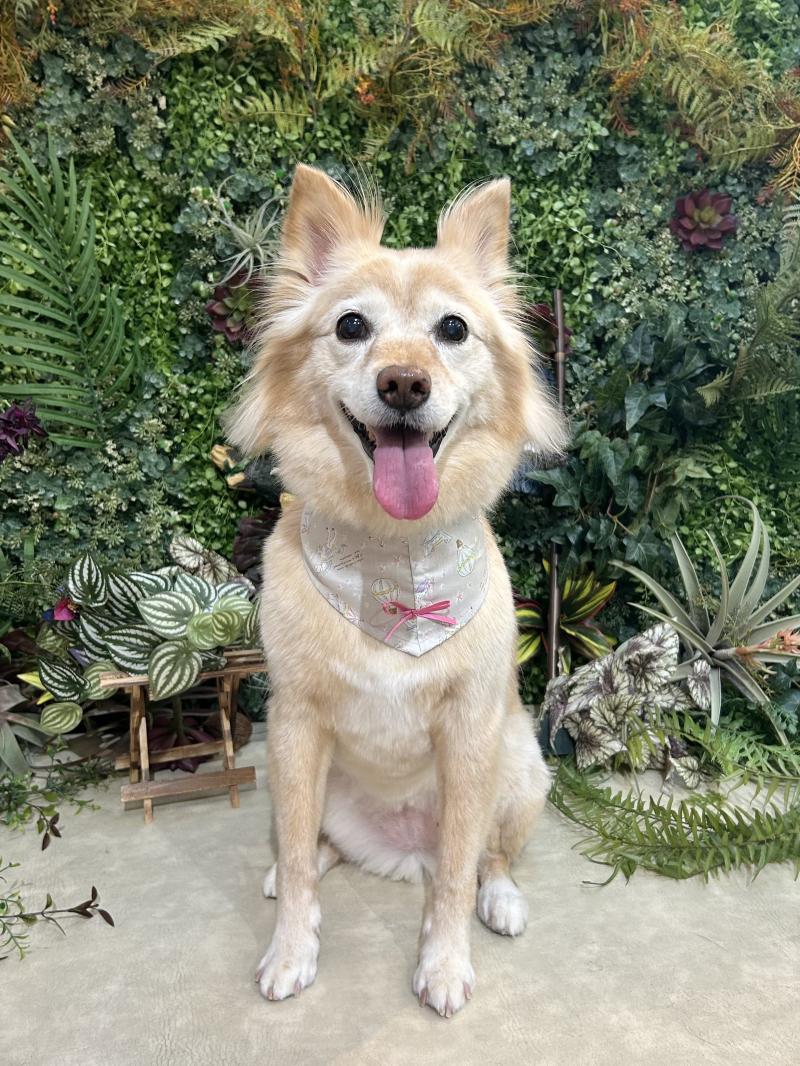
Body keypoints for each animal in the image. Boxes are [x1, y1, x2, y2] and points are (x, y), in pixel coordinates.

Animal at [226, 164, 566, 1017]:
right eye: (351, 326)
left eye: (453, 330)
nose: (404, 383)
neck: (393, 562)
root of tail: (399, 849)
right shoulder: (295, 724)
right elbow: (304, 860)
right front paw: (292, 950)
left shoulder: (470, 730)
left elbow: (455, 876)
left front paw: (444, 963)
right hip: (298, 777)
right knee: (312, 847)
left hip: (520, 769)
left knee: (483, 858)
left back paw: (499, 897)